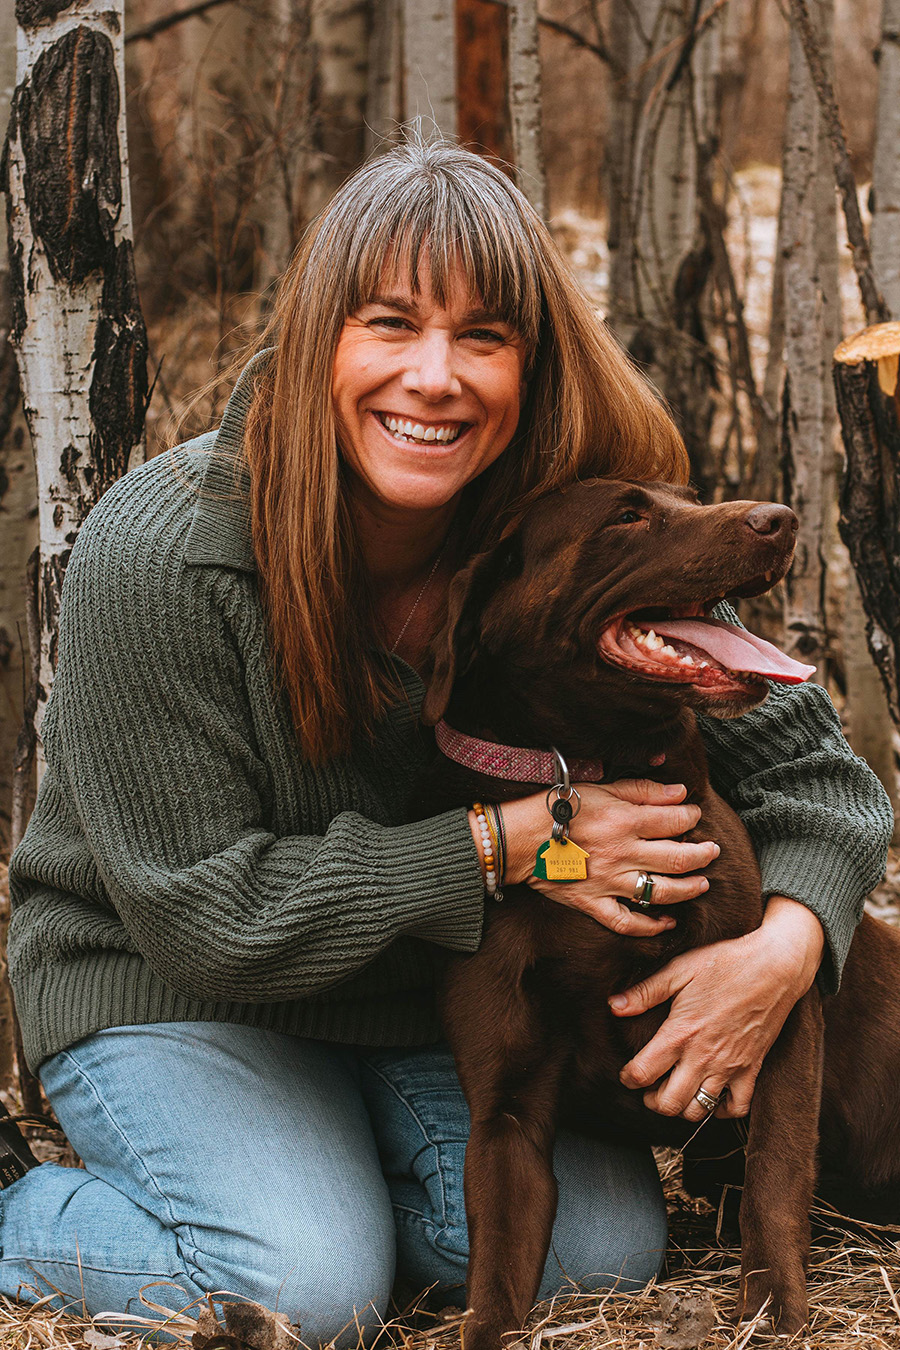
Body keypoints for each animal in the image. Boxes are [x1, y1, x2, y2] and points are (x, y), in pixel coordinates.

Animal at [418, 483, 900, 1350]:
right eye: (627, 515)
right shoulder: (506, 1114)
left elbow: (777, 1175)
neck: (591, 767)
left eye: (689, 495)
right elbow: (494, 1275)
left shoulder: (776, 1012)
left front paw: (773, 1309)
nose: (778, 519)